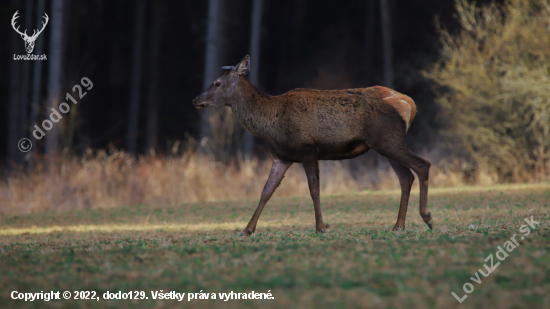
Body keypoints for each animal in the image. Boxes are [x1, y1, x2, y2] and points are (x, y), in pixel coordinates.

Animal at [195, 54, 436, 236]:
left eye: (217, 83)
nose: (195, 99)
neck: (270, 125)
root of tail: (409, 103)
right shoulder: (282, 157)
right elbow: (266, 191)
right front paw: (246, 230)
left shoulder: (307, 148)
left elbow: (314, 189)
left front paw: (320, 227)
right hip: (383, 143)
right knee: (405, 177)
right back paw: (398, 225)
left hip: (387, 139)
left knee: (422, 164)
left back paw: (427, 217)